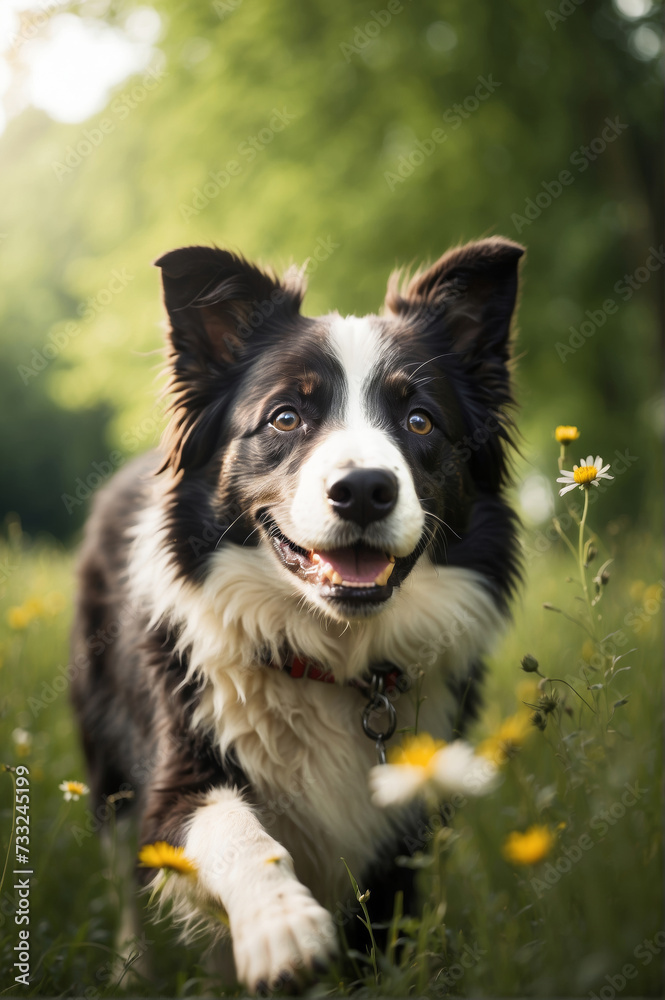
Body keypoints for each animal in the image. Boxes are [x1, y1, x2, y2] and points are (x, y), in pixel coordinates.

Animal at [68, 236, 524, 992]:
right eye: (286, 417)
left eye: (419, 420)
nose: (364, 489)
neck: (328, 655)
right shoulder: (174, 779)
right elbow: (237, 832)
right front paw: (280, 927)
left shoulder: (401, 833)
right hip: (106, 761)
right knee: (124, 877)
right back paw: (134, 970)